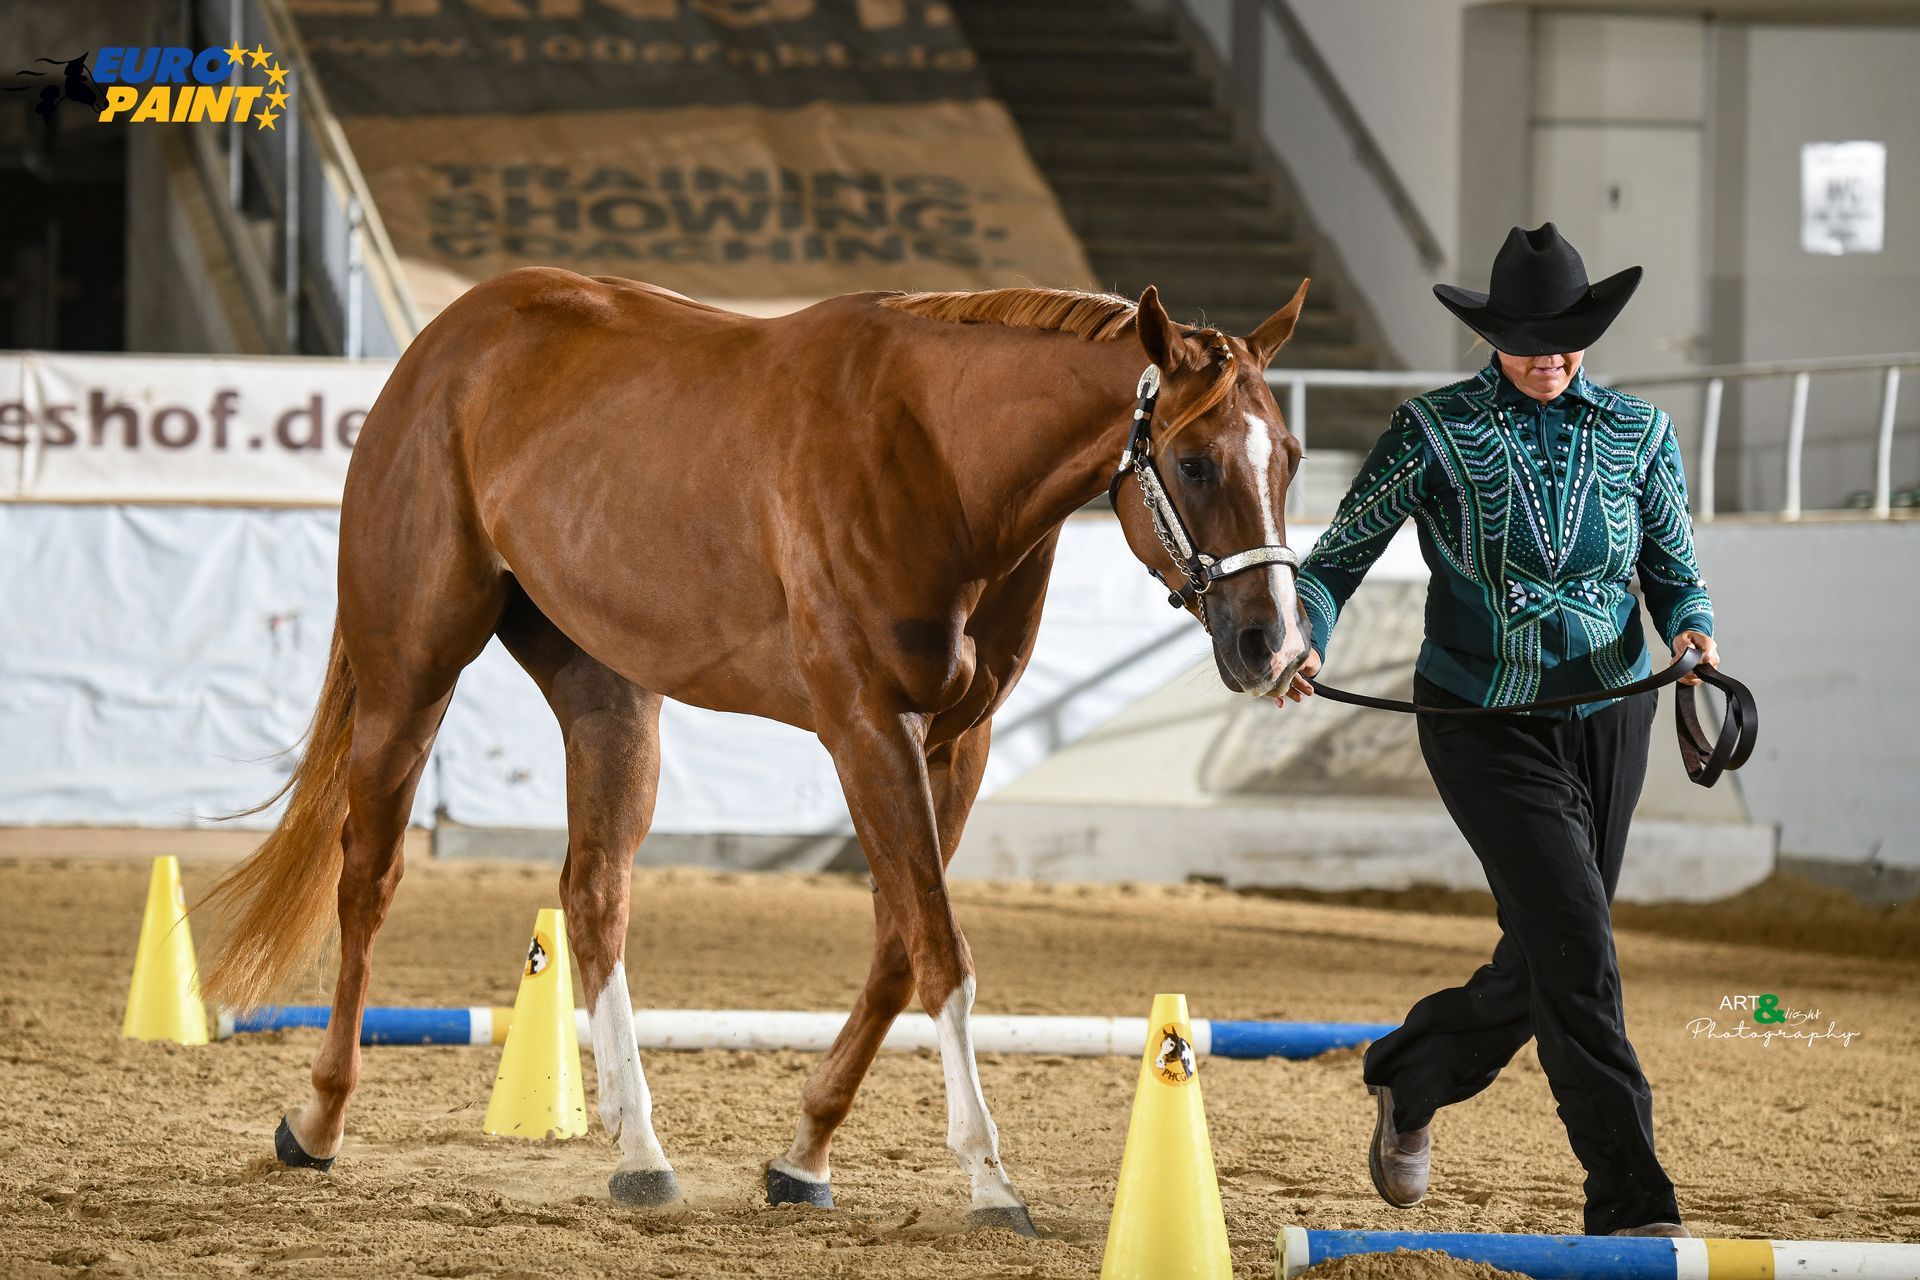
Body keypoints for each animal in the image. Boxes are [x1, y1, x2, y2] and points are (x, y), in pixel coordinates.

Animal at [200, 268, 1313, 1234]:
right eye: (1196, 461)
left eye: (1292, 457)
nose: (1274, 645)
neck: (939, 458)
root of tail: (442, 344)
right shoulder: (868, 728)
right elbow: (941, 950)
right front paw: (991, 1179)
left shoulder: (960, 743)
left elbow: (898, 953)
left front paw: (804, 1156)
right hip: (409, 672)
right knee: (368, 876)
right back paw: (319, 1120)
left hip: (609, 698)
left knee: (594, 893)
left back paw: (640, 1153)